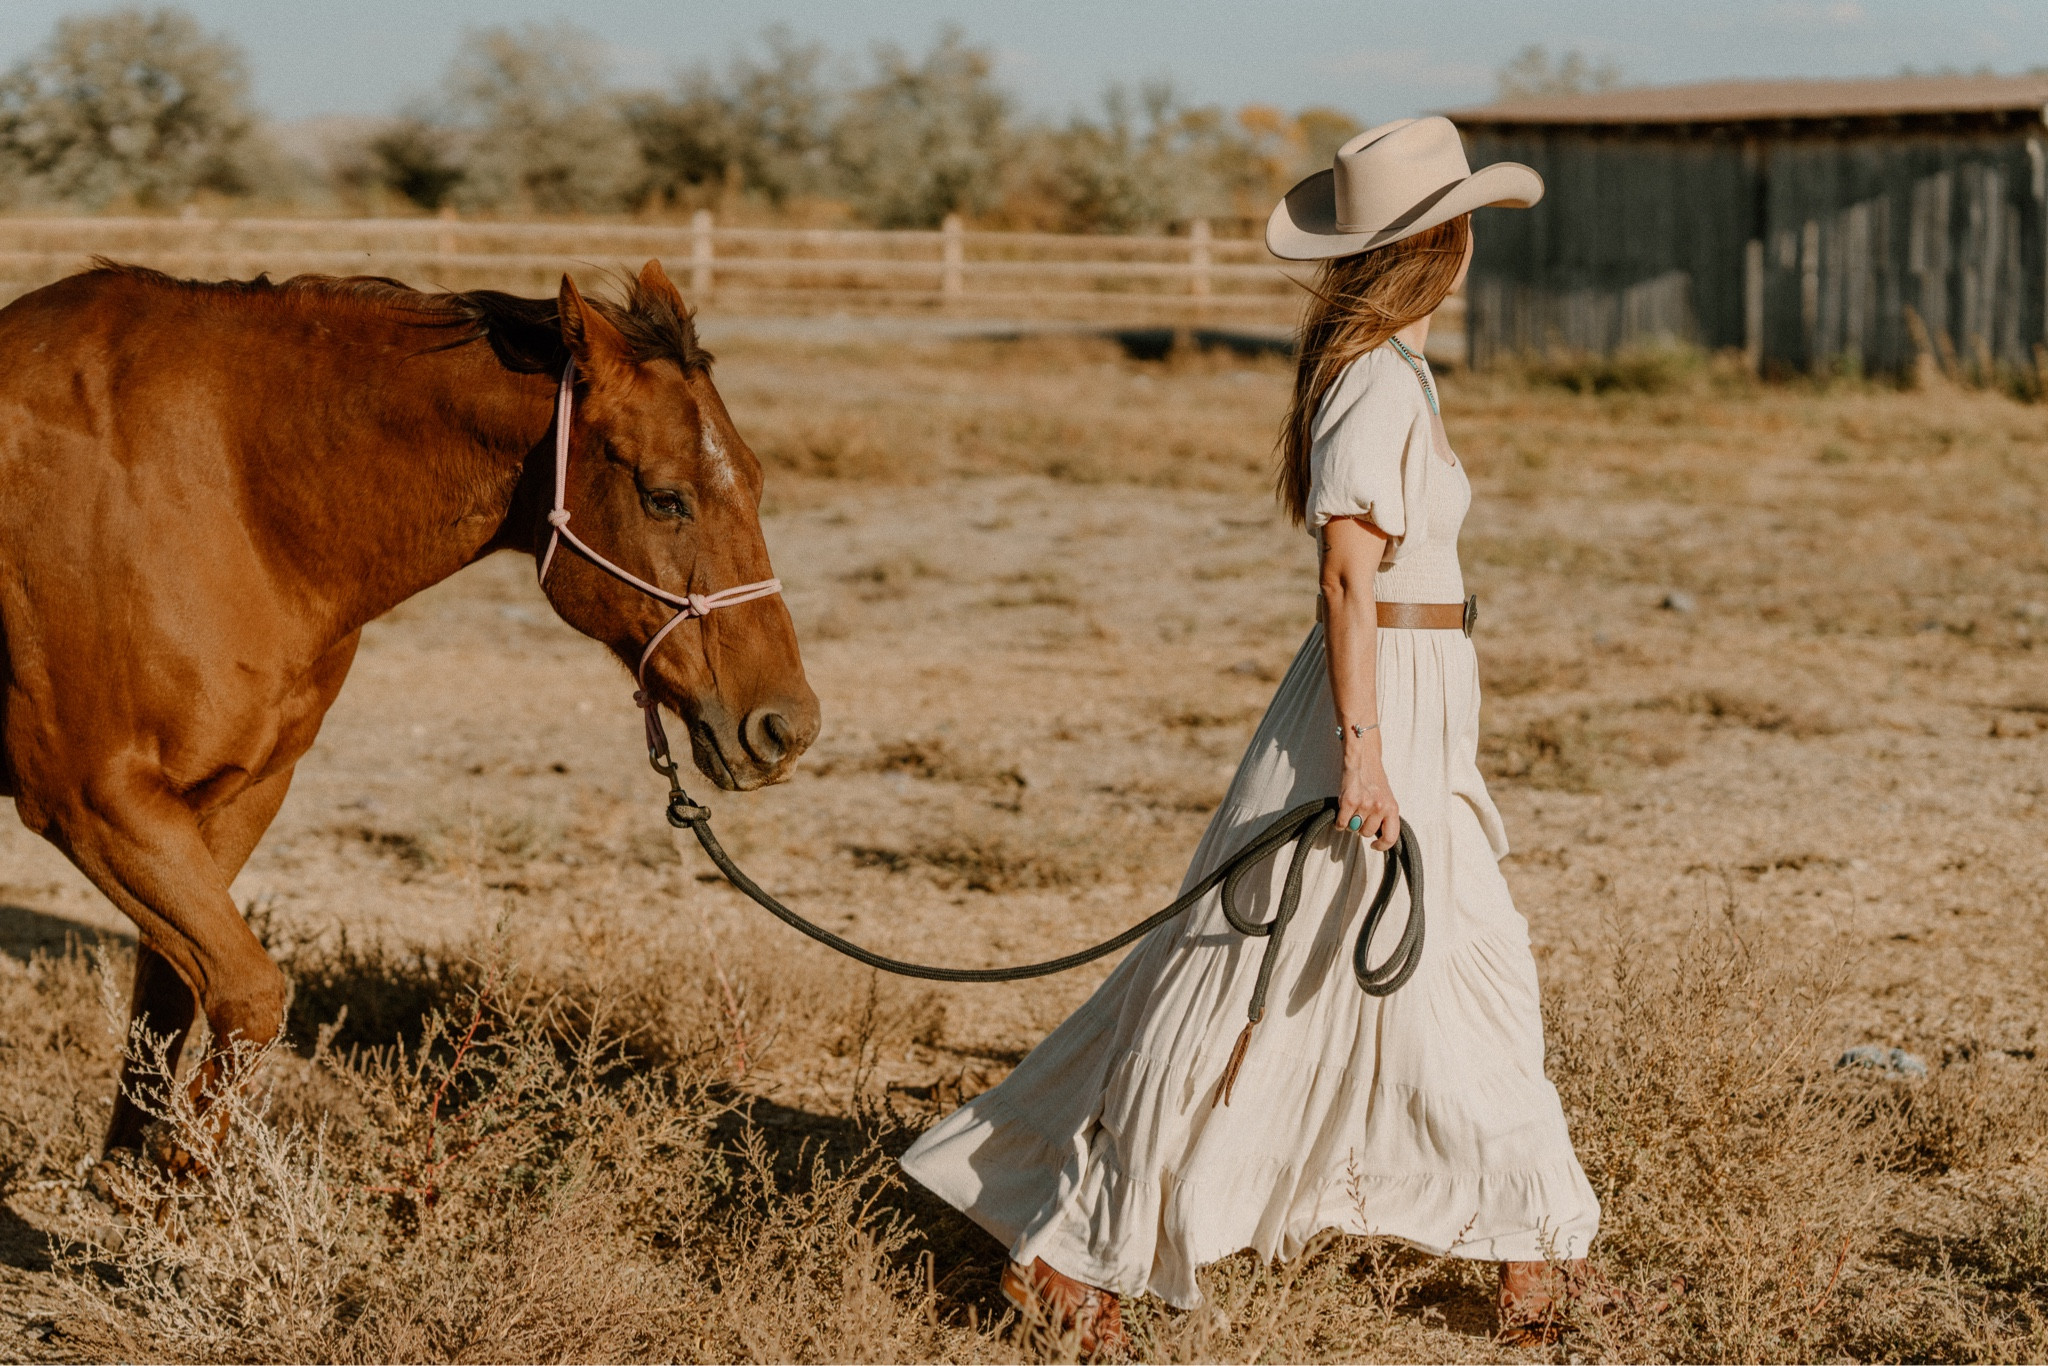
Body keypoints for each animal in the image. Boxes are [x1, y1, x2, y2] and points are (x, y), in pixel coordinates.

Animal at [0, 257, 818, 1159]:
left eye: (755, 477)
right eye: (666, 497)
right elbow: (248, 994)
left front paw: (133, 1173)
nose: (785, 726)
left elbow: (173, 989)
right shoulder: (95, 803)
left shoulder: (235, 793)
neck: (223, 494)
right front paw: (187, 1165)